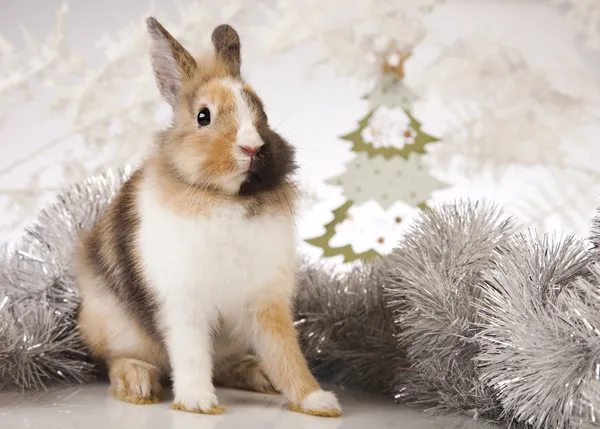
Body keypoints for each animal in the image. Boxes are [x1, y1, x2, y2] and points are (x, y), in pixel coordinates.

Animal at [72, 16, 342, 418]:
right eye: (204, 116)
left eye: (263, 113)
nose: (251, 148)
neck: (225, 198)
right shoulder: (184, 302)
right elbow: (191, 353)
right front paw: (198, 402)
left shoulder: (267, 301)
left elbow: (287, 353)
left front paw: (318, 401)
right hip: (114, 324)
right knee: (117, 359)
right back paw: (137, 382)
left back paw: (258, 374)